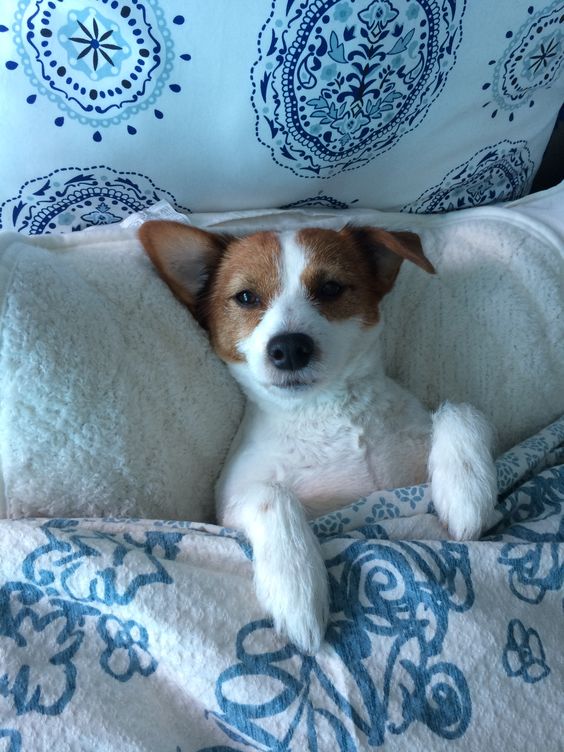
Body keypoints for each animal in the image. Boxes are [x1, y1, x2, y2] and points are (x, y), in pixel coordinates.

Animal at [139, 222, 496, 652]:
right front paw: (296, 586)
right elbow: (271, 496)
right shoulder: (225, 508)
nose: (290, 347)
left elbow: (460, 410)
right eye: (246, 297)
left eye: (329, 288)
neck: (326, 412)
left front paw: (466, 492)